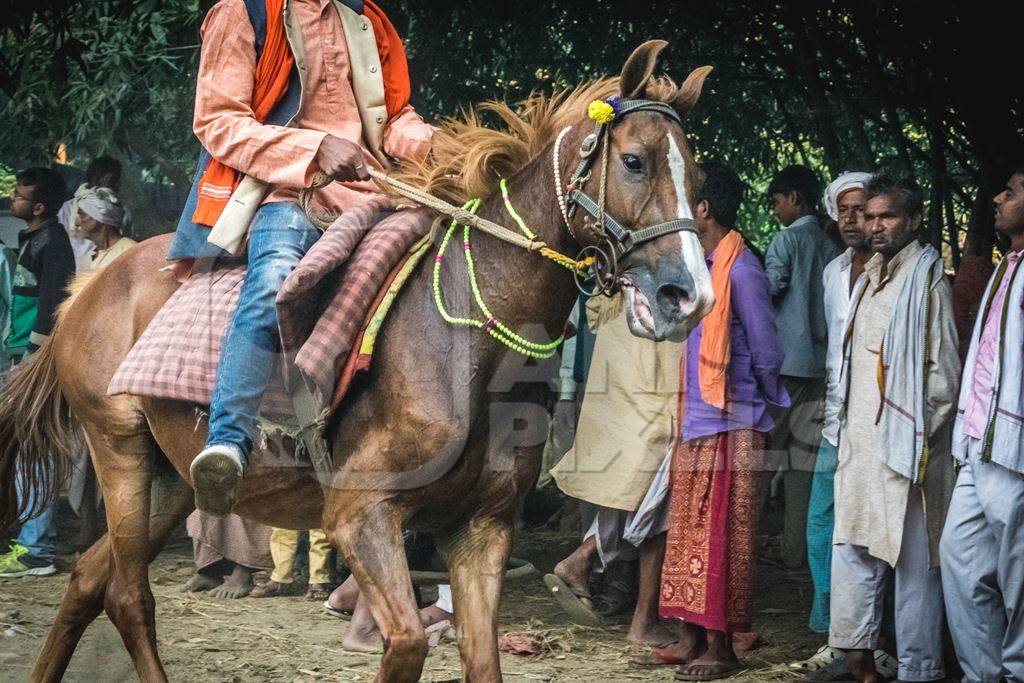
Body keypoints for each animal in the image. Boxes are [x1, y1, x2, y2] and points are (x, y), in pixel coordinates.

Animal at [0, 42, 716, 683]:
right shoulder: (359, 515)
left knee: (90, 578)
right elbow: (405, 645)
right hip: (117, 447)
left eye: (696, 174)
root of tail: (90, 287)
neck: (469, 348)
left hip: (172, 477)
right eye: (634, 161)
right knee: (127, 594)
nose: (689, 296)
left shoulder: (480, 528)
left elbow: (481, 658)